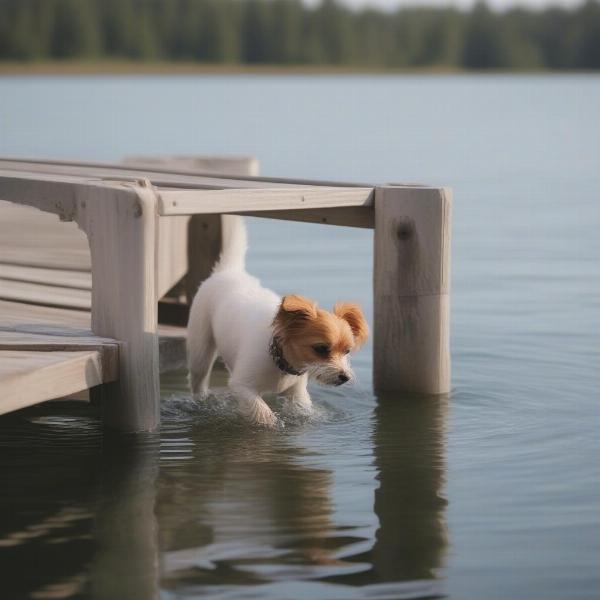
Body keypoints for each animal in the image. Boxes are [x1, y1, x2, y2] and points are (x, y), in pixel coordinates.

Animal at [188, 217, 368, 426]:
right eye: (321, 349)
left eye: (347, 351)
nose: (344, 377)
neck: (279, 362)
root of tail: (229, 271)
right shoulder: (242, 385)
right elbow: (263, 413)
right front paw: (270, 423)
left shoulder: (297, 393)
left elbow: (302, 408)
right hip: (200, 352)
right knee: (198, 380)